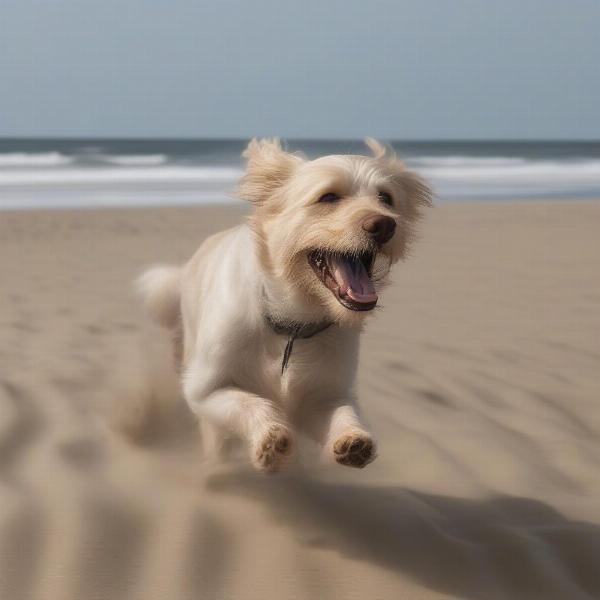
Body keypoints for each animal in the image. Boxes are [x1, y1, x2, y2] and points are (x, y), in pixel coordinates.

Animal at [139, 139, 432, 474]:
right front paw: (270, 439)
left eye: (386, 197)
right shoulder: (205, 389)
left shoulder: (323, 396)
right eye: (329, 197)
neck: (293, 323)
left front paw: (353, 438)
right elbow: (248, 403)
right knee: (216, 437)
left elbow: (344, 411)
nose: (384, 224)